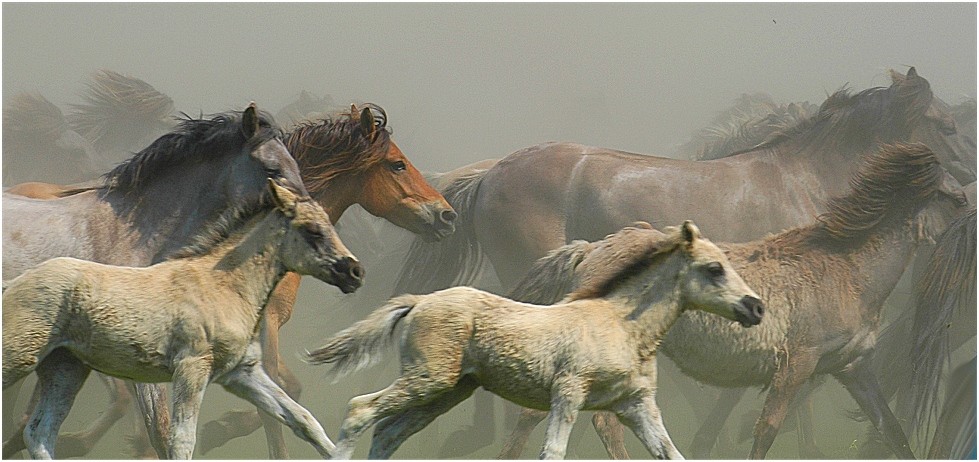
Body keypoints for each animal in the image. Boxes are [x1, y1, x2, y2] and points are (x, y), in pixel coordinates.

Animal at [3, 180, 364, 458]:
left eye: (329, 224)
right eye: (312, 231)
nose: (355, 272)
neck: (222, 285)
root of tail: (15, 282)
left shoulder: (242, 373)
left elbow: (303, 420)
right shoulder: (192, 368)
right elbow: (181, 440)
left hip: (65, 370)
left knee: (39, 433)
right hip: (20, 355)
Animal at [306, 220, 764, 458]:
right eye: (713, 269)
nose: (756, 307)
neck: (621, 326)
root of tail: (420, 301)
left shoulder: (636, 405)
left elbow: (670, 453)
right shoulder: (569, 393)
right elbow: (553, 452)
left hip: (447, 391)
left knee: (389, 432)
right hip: (427, 380)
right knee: (360, 411)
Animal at [494, 143, 968, 460]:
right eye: (958, 198)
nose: (968, 231)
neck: (845, 268)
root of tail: (589, 249)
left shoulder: (853, 369)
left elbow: (893, 432)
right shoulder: (797, 365)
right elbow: (767, 431)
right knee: (592, 420)